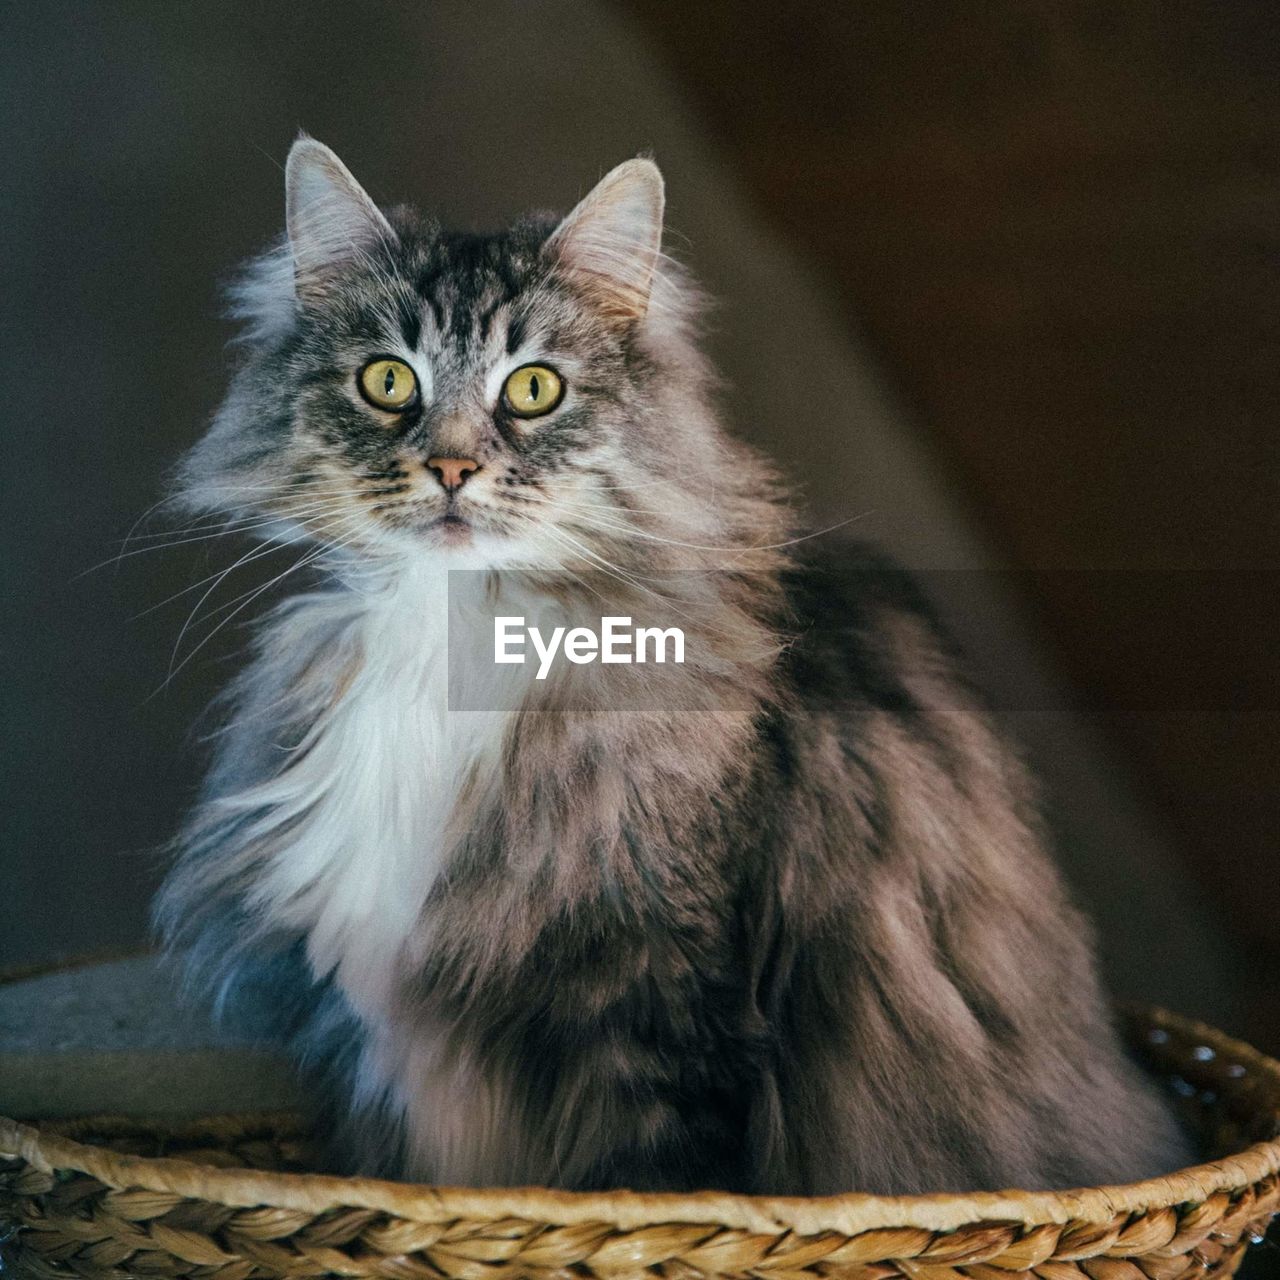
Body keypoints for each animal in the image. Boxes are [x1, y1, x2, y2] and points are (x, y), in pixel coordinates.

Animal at [154, 135, 1192, 1192]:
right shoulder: (375, 1053)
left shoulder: (667, 998)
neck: (460, 631)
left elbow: (661, 1180)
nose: (451, 467)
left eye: (534, 389)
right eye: (388, 382)